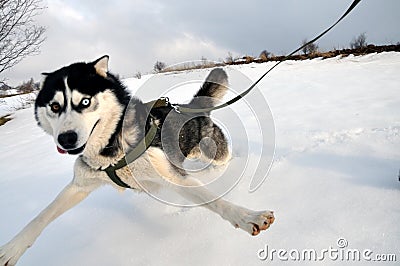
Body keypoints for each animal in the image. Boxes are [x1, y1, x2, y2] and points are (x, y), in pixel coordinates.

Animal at [0, 56, 274, 266]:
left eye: (85, 101)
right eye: (55, 106)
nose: (66, 139)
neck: (110, 150)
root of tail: (190, 106)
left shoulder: (169, 175)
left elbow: (215, 201)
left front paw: (247, 216)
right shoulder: (80, 184)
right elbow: (41, 217)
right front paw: (11, 249)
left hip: (213, 151)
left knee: (225, 159)